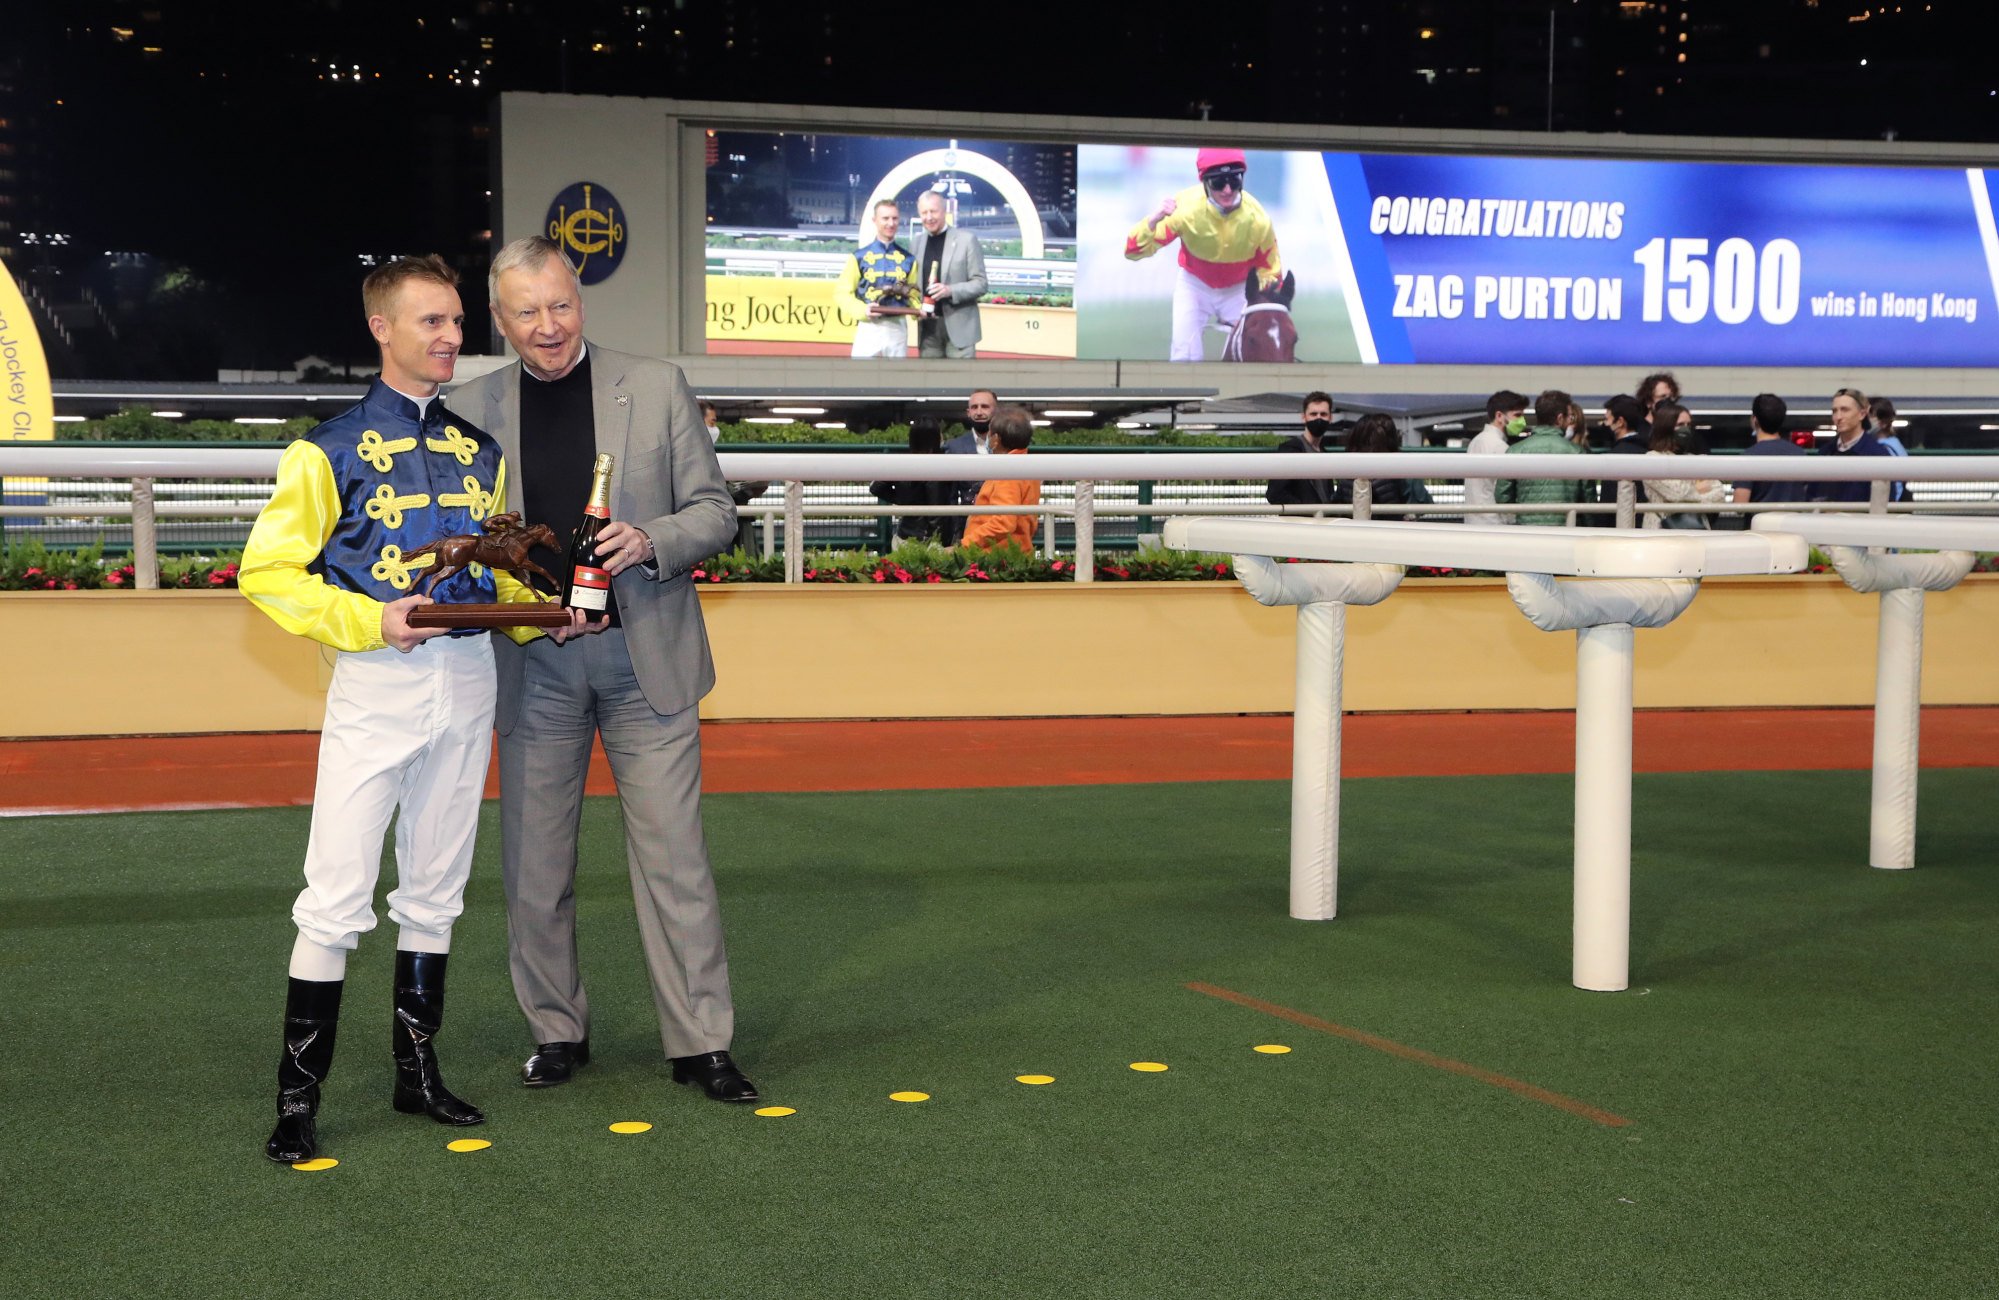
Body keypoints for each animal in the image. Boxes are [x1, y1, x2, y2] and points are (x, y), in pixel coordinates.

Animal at [403, 512, 567, 604]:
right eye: (552, 534)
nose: (559, 549)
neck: (520, 541)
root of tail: (445, 541)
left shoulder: (516, 567)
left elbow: (527, 582)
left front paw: (540, 599)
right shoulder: (523, 563)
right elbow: (542, 570)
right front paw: (557, 587)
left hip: (441, 562)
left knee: (425, 571)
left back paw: (409, 590)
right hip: (454, 566)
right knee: (435, 578)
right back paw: (427, 600)